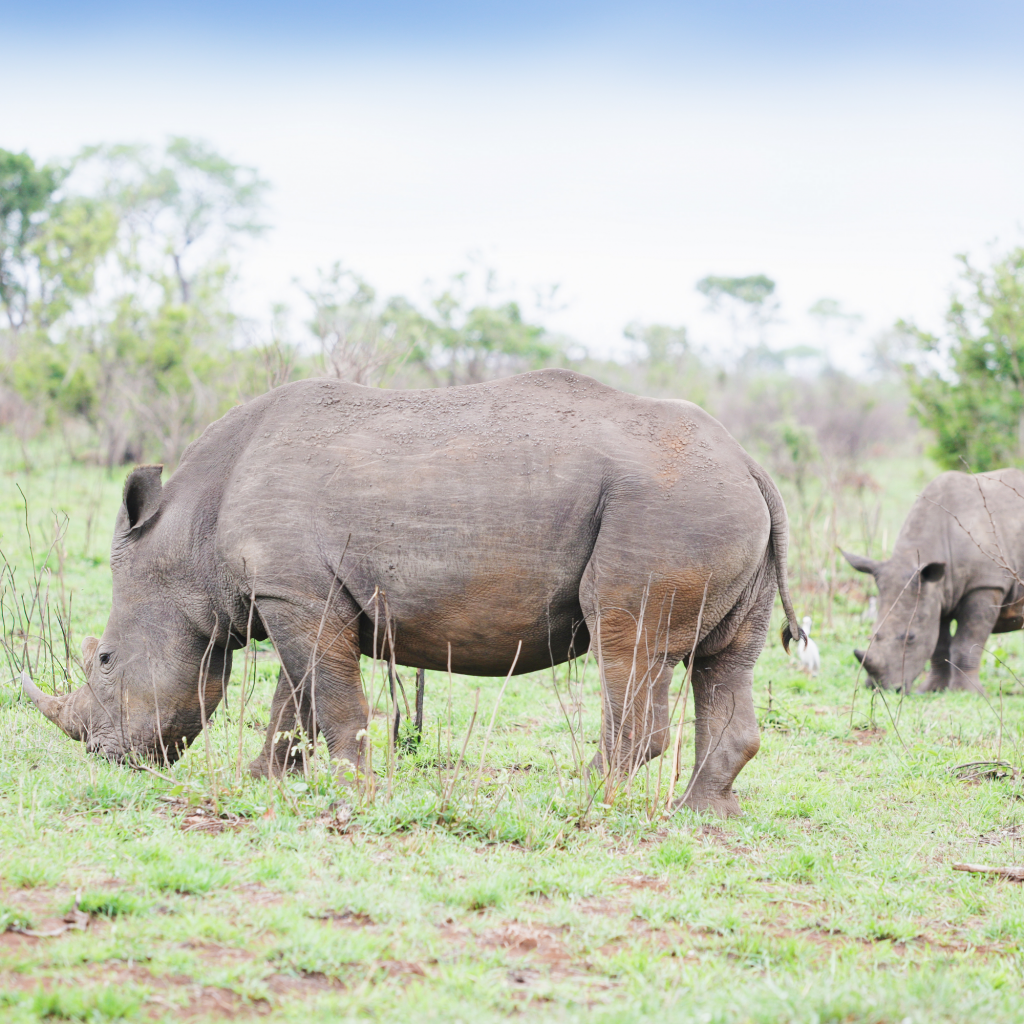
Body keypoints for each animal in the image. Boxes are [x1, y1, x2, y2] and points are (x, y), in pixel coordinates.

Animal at [22, 368, 798, 815]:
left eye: (104, 662)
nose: (106, 758)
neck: (186, 535)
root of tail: (751, 464)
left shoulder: (295, 595)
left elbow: (329, 699)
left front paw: (352, 793)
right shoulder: (292, 594)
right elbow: (293, 699)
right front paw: (264, 781)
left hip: (667, 507)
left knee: (627, 645)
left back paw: (575, 802)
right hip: (713, 505)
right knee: (725, 660)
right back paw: (700, 817)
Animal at [843, 468, 1024, 692]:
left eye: (910, 637)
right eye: (872, 635)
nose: (882, 688)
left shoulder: (985, 584)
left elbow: (967, 642)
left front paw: (966, 692)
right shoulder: (938, 592)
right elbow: (939, 644)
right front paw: (932, 689)